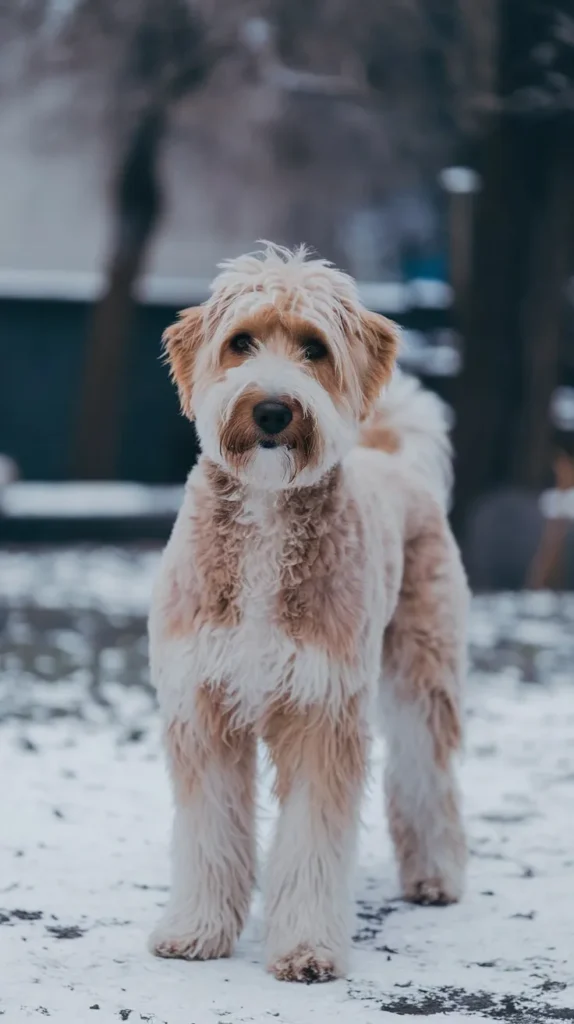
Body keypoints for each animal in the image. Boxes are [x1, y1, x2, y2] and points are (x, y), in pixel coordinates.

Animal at [146, 241, 466, 983]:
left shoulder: (323, 708)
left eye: (314, 348)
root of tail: (396, 462)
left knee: (426, 772)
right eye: (240, 342)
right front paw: (197, 930)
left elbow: (313, 842)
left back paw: (435, 877)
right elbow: (208, 831)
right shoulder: (202, 704)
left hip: (421, 670)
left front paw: (307, 948)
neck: (266, 513)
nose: (271, 410)